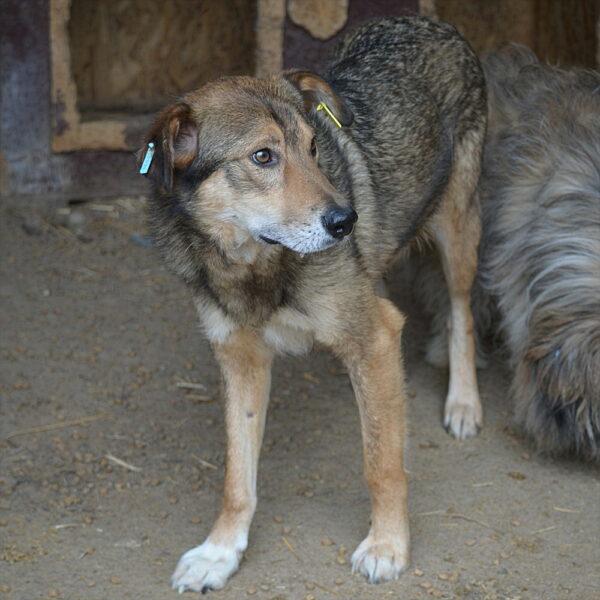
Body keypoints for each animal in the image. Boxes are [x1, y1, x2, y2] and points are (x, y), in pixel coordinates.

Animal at [138, 15, 486, 596]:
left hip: (457, 230)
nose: (346, 221)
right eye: (263, 156)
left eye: (314, 147)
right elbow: (237, 478)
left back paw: (463, 402)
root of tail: (426, 20)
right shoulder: (240, 359)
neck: (256, 266)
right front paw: (219, 553)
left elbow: (381, 463)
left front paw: (388, 546)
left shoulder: (374, 339)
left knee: (464, 312)